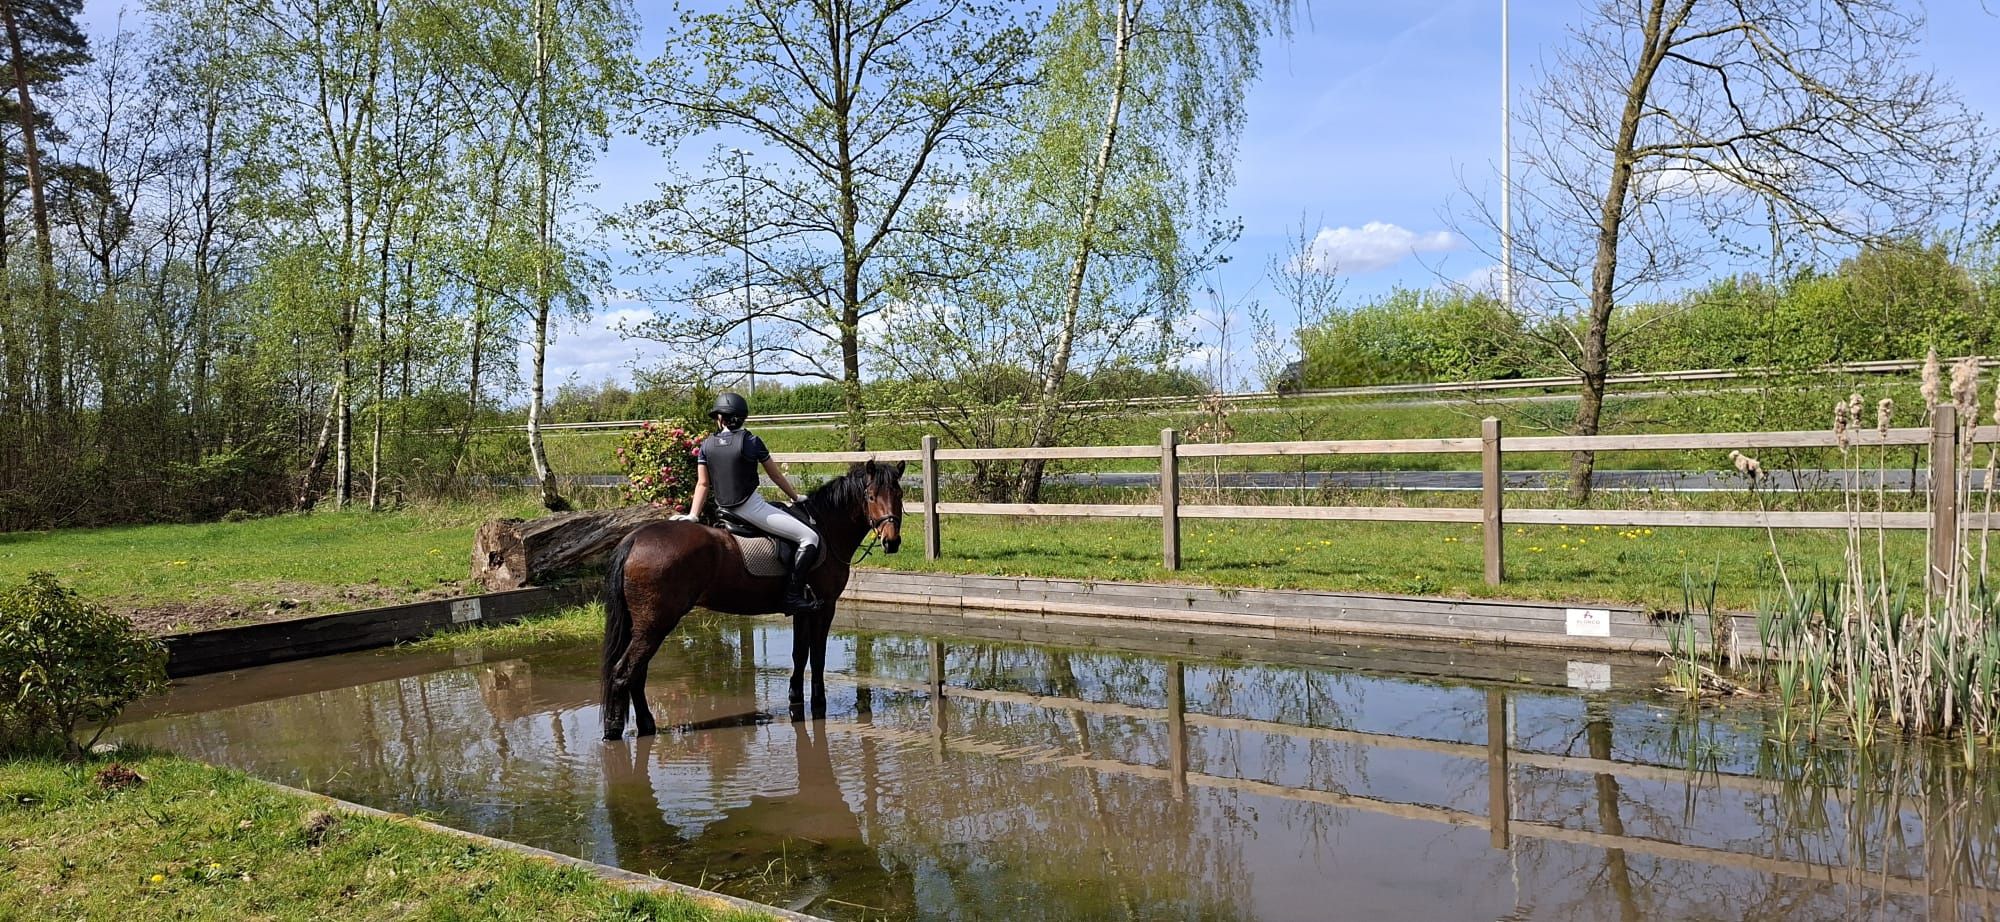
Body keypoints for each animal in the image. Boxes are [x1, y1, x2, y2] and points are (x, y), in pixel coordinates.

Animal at [599, 459, 905, 739]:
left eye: (899, 494)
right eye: (870, 497)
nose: (891, 542)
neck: (826, 531)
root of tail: (635, 539)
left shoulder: (803, 610)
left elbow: (799, 655)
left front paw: (796, 698)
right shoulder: (824, 607)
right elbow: (817, 657)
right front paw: (819, 704)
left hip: (643, 626)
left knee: (637, 674)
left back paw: (646, 725)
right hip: (655, 625)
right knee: (624, 672)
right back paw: (613, 730)